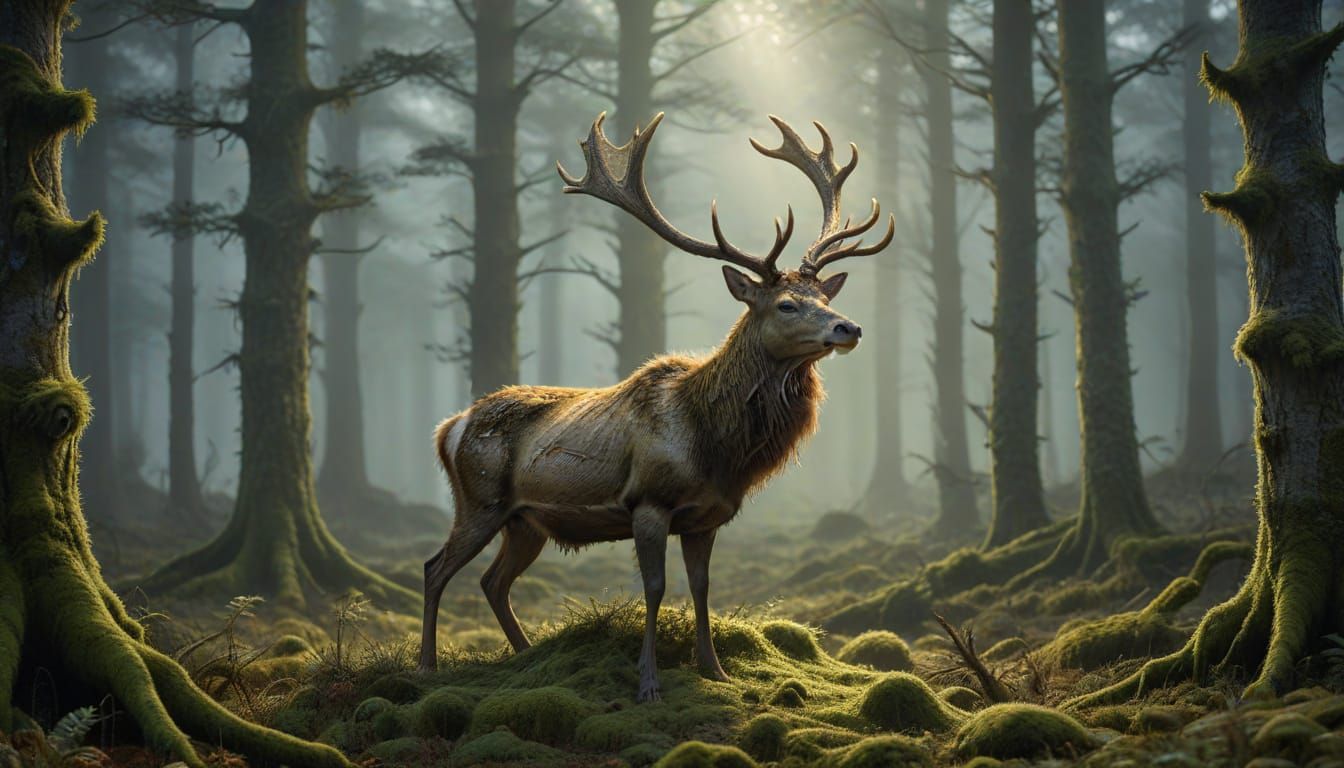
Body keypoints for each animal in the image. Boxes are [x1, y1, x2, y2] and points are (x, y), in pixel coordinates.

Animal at [419, 112, 894, 702]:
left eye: (825, 299)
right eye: (787, 304)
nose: (848, 328)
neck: (717, 448)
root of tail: (448, 427)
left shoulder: (707, 517)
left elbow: (702, 586)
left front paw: (714, 669)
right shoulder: (648, 501)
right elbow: (654, 586)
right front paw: (648, 684)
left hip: (525, 520)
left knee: (492, 580)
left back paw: (526, 657)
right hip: (479, 499)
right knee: (435, 568)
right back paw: (428, 667)